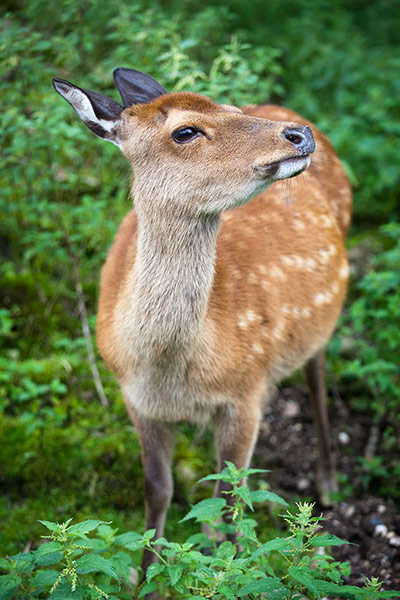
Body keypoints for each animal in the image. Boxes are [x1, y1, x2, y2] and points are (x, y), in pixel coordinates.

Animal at [52, 67, 350, 576]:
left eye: (230, 108)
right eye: (185, 131)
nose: (299, 135)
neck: (172, 370)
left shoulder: (245, 392)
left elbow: (229, 501)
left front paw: (227, 570)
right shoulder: (136, 400)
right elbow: (159, 490)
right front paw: (148, 576)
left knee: (316, 374)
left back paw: (328, 483)